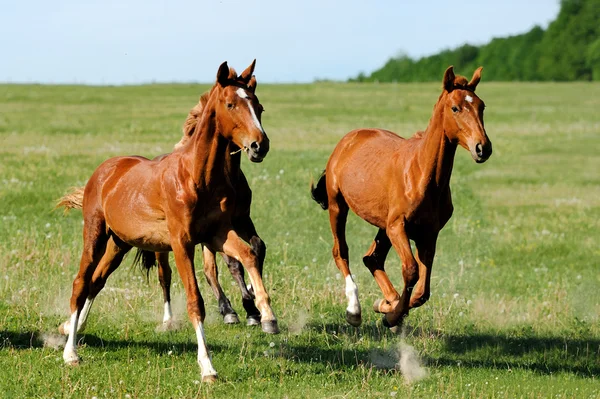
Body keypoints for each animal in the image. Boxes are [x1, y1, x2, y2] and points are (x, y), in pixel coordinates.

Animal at [56, 60, 276, 384]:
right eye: (230, 104)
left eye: (258, 107)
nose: (260, 145)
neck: (197, 177)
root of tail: (105, 169)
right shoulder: (182, 242)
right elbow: (195, 301)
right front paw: (207, 367)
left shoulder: (219, 234)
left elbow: (248, 253)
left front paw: (266, 315)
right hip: (95, 235)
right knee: (81, 283)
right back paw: (70, 353)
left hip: (119, 244)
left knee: (96, 281)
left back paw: (73, 330)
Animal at [312, 68, 490, 332]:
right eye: (455, 108)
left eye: (481, 106)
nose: (483, 148)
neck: (422, 175)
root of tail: (347, 140)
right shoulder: (398, 227)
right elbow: (412, 271)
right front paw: (392, 315)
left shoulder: (429, 234)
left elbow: (422, 291)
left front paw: (388, 309)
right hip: (338, 207)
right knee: (340, 251)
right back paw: (355, 310)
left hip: (382, 225)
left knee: (371, 258)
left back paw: (386, 301)